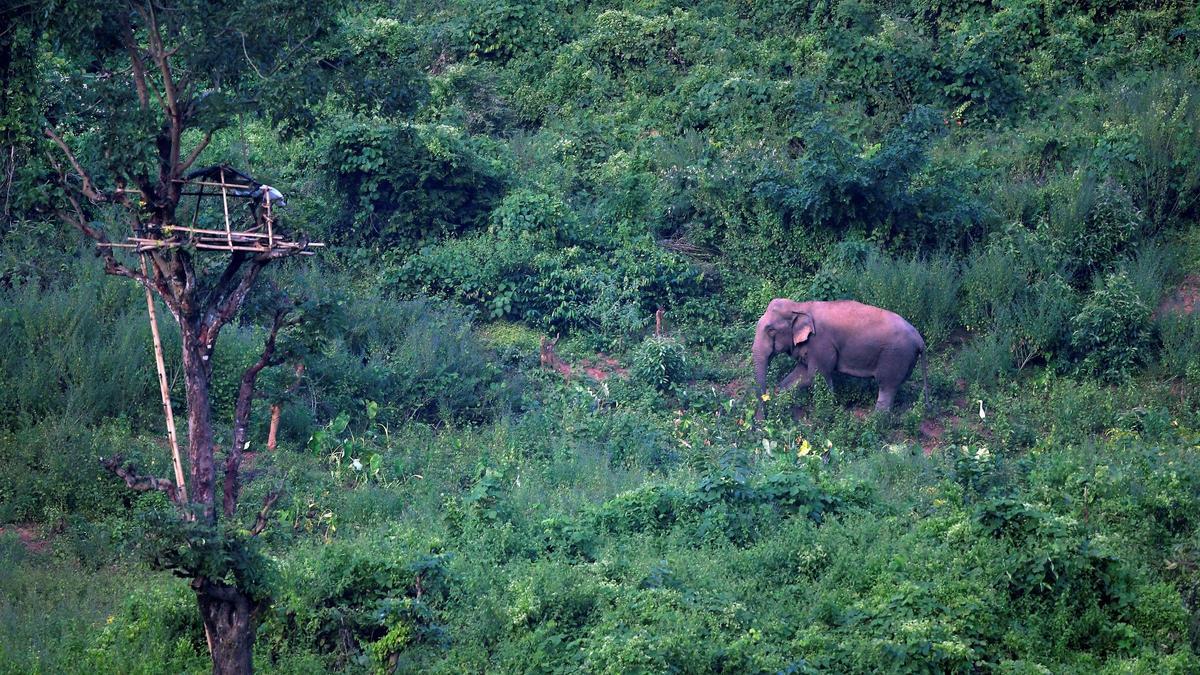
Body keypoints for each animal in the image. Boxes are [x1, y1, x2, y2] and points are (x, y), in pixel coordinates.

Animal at [748, 297, 926, 417]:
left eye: (771, 330)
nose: (760, 422)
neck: (800, 306)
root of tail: (920, 339)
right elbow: (800, 374)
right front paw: (781, 397)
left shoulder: (820, 344)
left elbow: (815, 377)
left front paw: (826, 413)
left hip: (895, 355)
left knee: (886, 386)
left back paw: (875, 421)